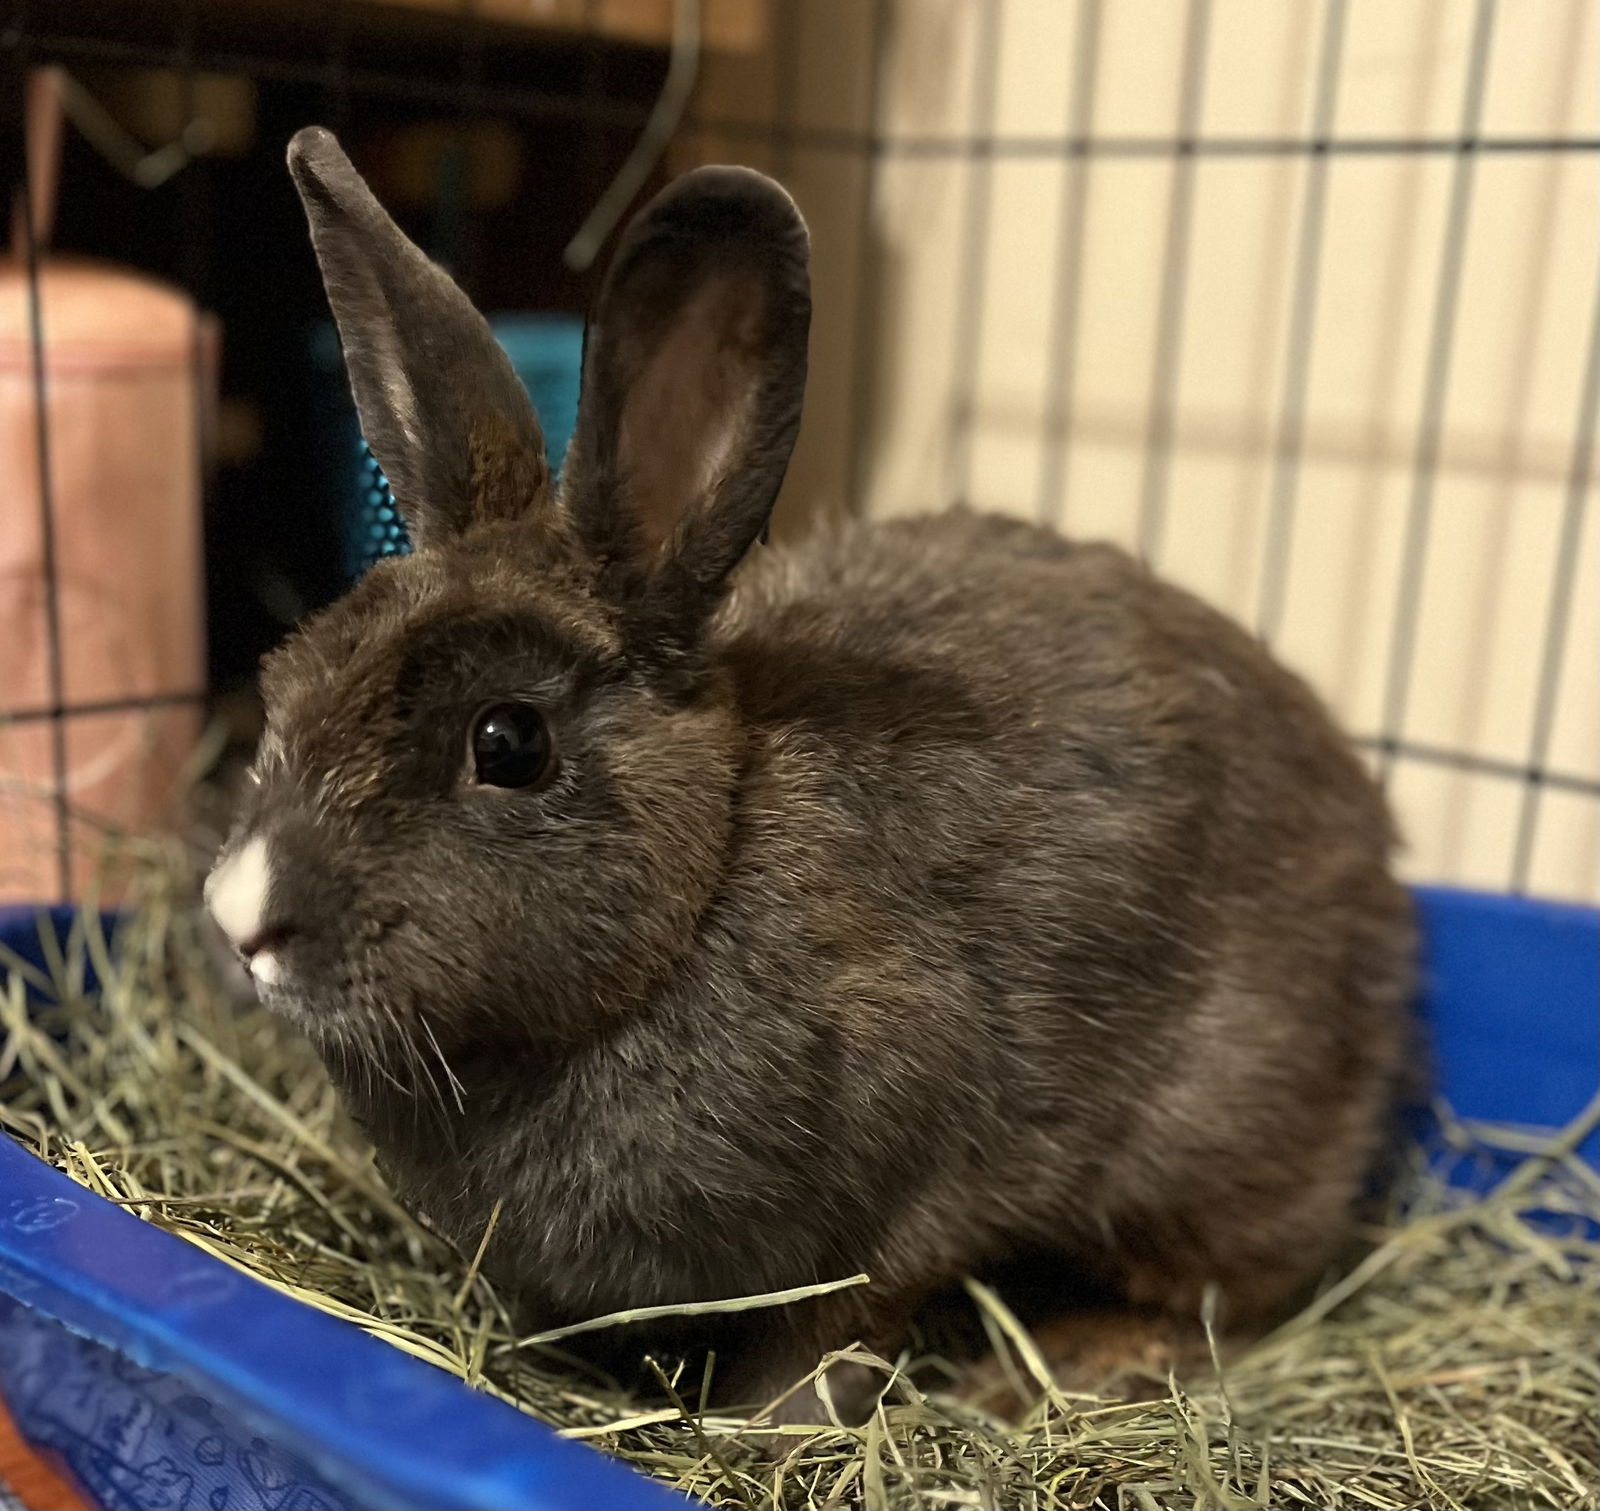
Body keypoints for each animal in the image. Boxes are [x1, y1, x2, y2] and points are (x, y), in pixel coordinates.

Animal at [206, 129, 1420, 1427]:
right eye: (294, 673)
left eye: (509, 743)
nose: (242, 917)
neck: (696, 899)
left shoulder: (907, 1188)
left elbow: (842, 1320)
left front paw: (767, 1428)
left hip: (1217, 1137)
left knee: (1233, 1290)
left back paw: (1075, 1359)